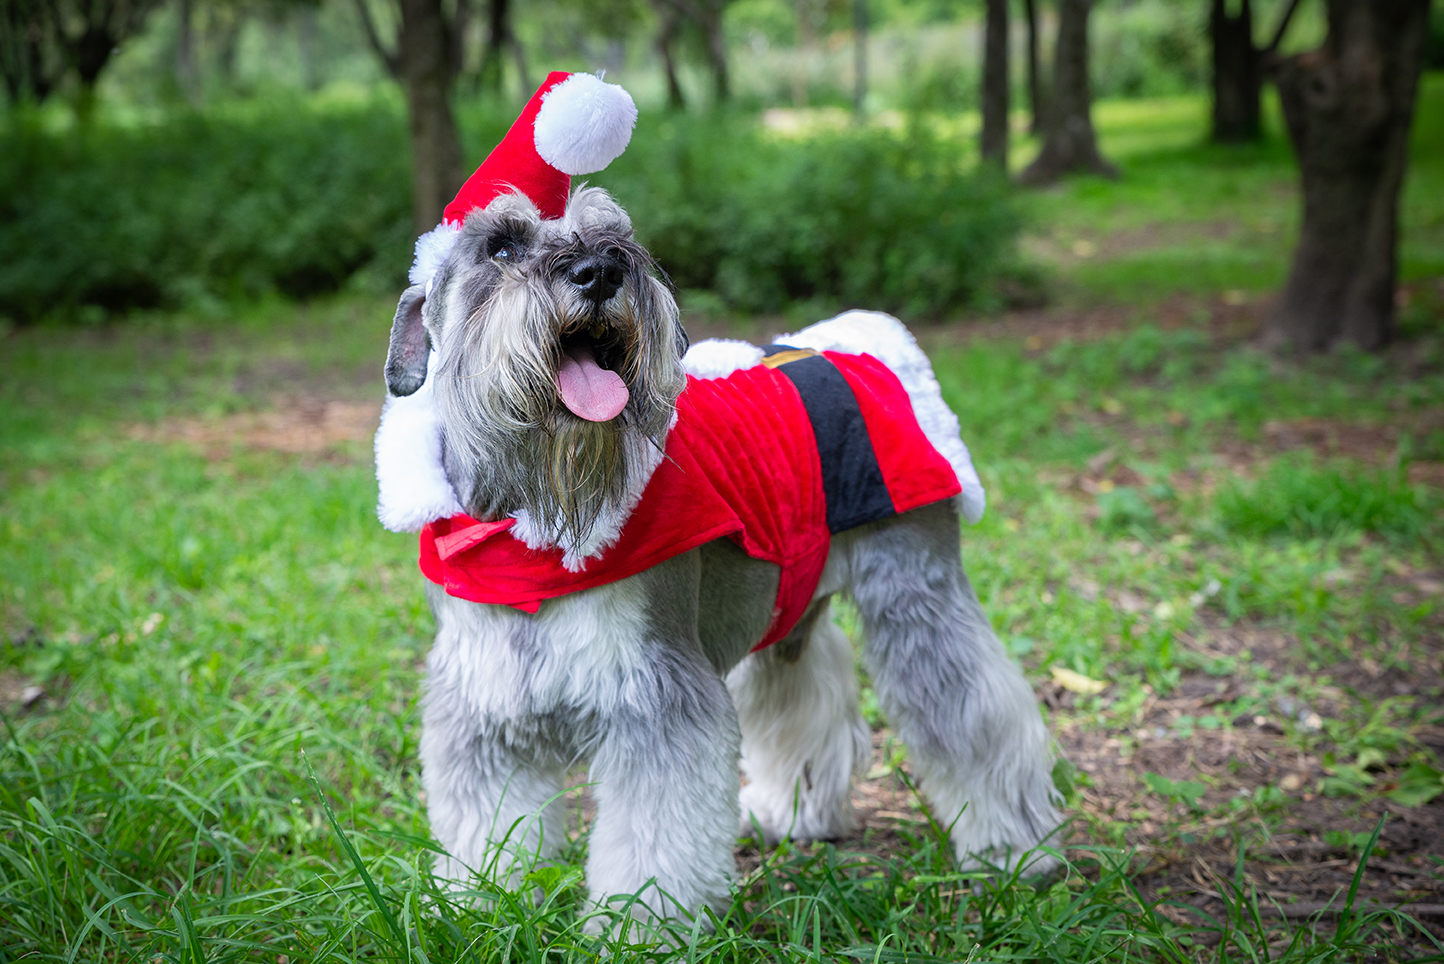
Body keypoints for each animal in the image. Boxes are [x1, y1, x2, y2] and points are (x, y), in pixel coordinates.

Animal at [375, 184, 1062, 929]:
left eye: (615, 234)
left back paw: (1017, 848)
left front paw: (639, 929)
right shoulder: (484, 716)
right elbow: (489, 828)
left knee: (975, 713)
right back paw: (794, 812)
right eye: (499, 247)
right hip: (788, 607)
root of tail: (855, 349)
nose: (599, 272)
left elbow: (654, 841)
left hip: (915, 594)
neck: (526, 520)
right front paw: (479, 909)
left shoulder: (658, 698)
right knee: (802, 693)